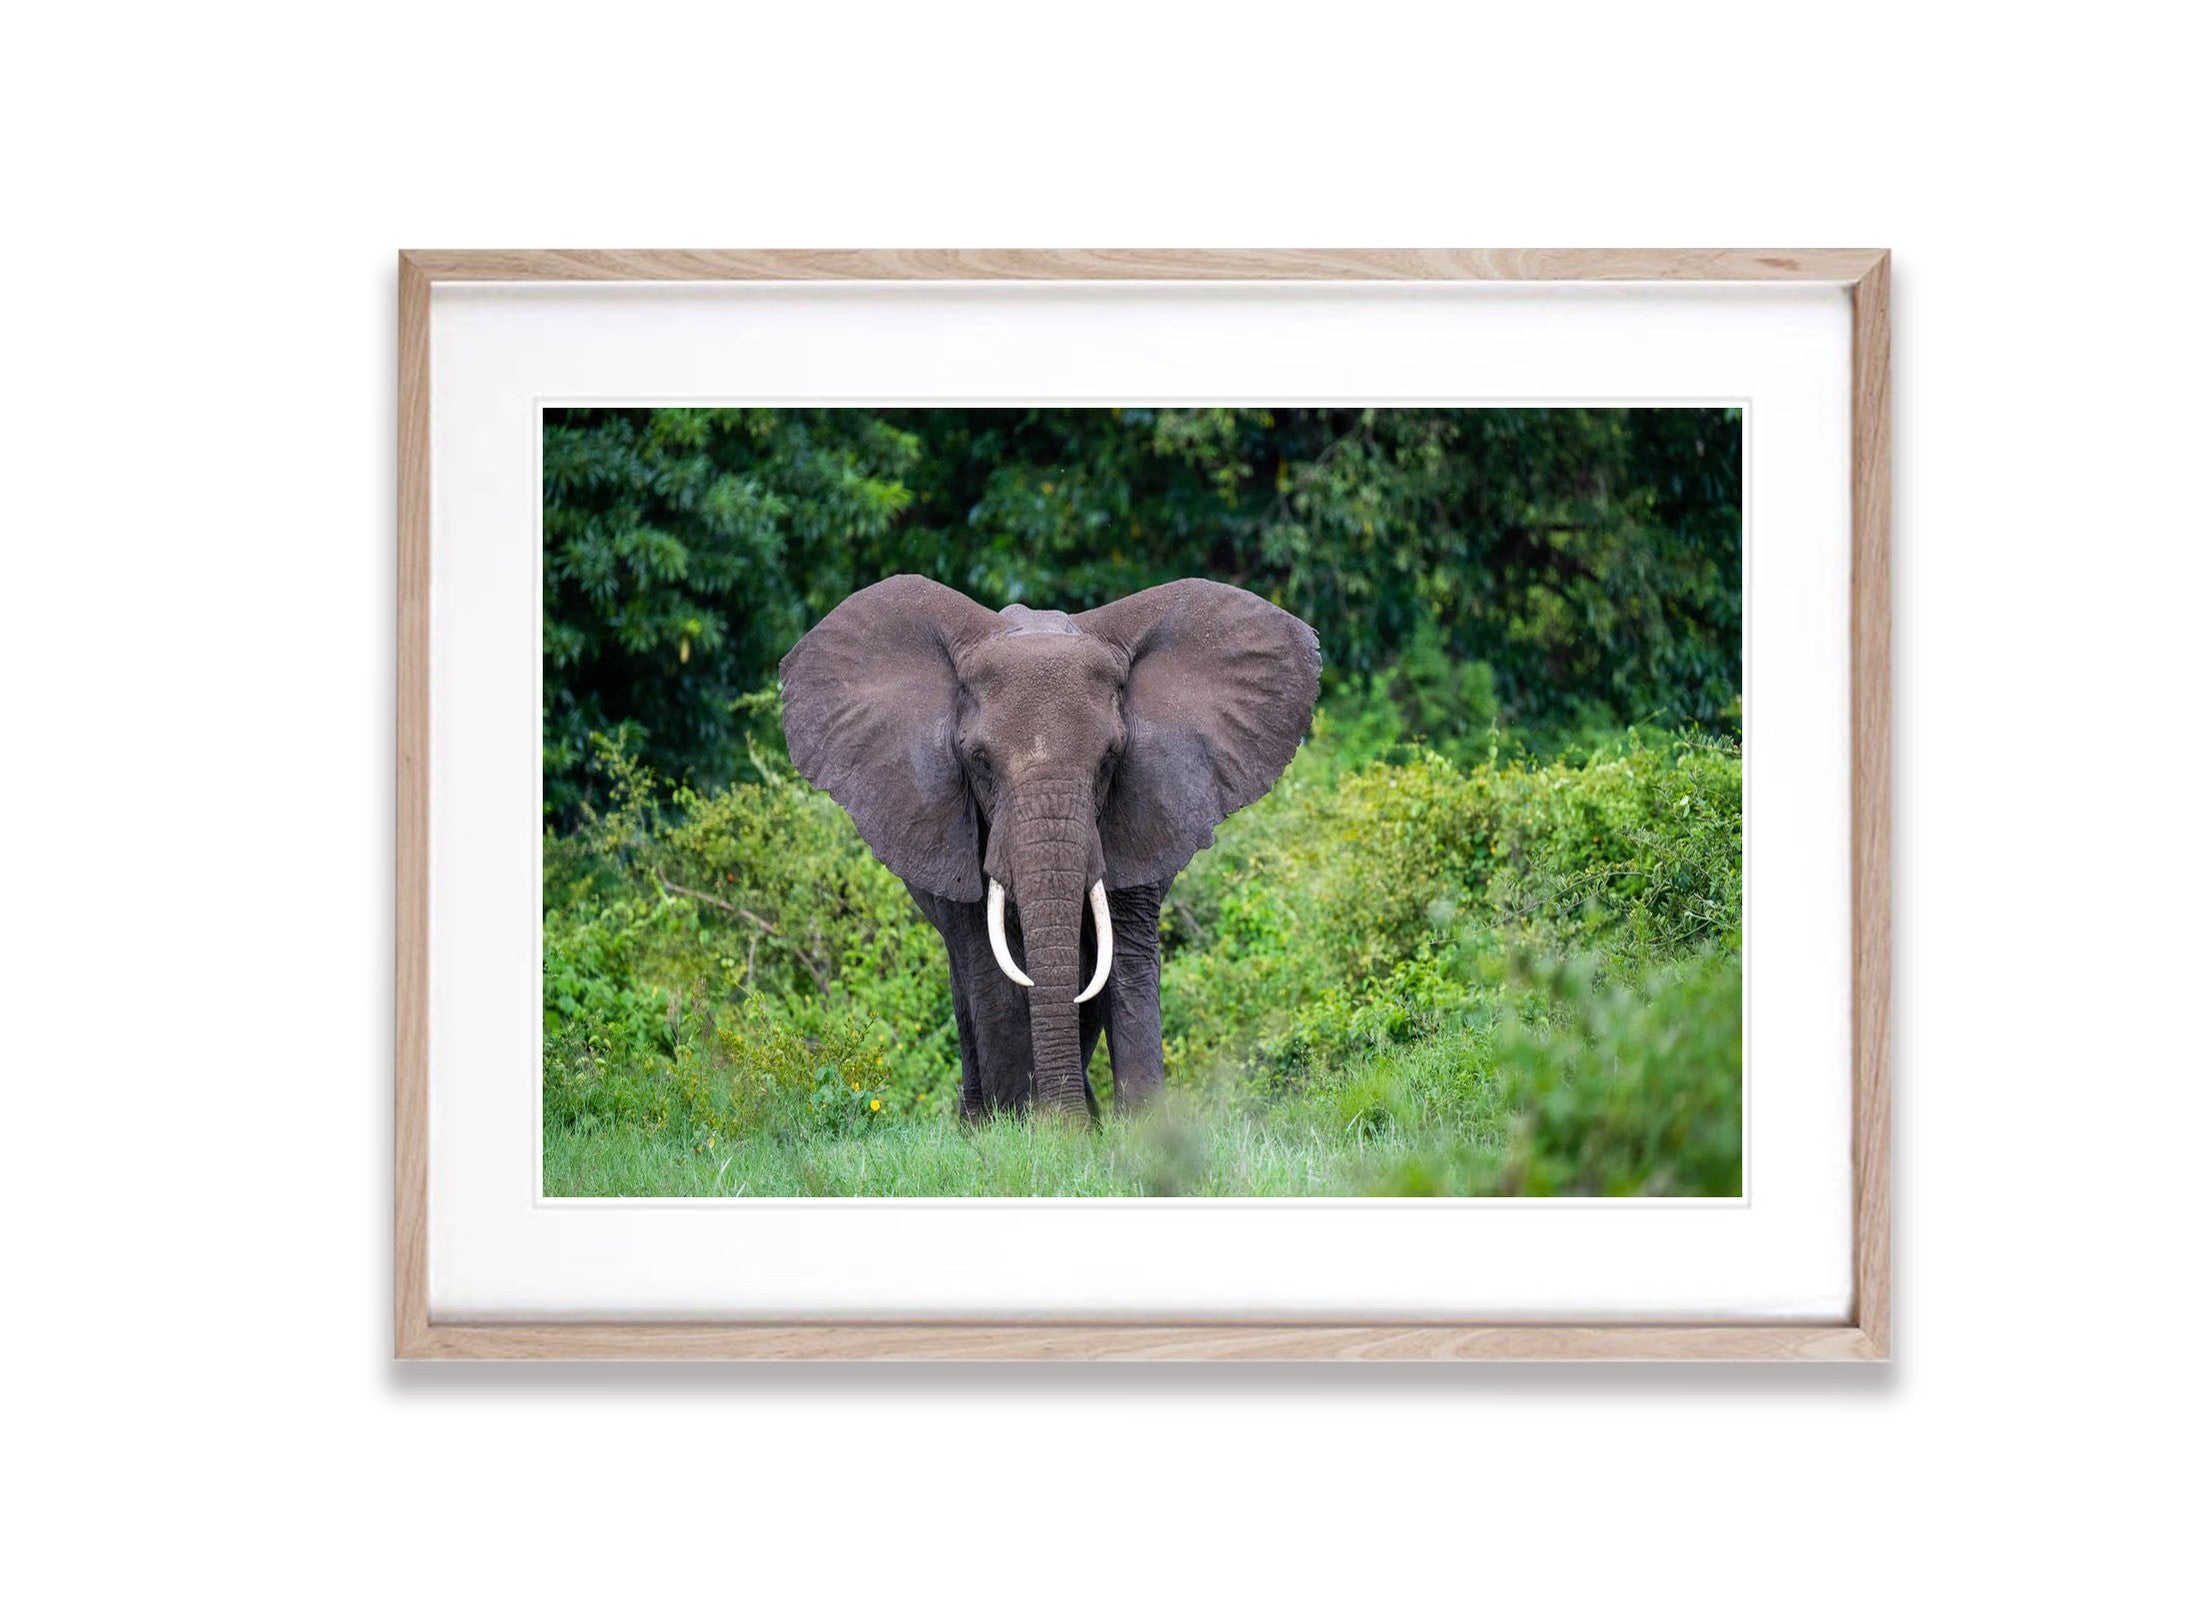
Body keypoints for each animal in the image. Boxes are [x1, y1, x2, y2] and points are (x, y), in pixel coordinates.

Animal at [782, 580, 1310, 1121]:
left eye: (1109, 759)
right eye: (979, 761)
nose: (1064, 1122)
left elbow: (1123, 958)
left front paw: (1132, 1130)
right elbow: (990, 968)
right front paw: (1028, 1127)